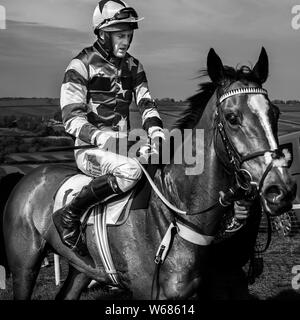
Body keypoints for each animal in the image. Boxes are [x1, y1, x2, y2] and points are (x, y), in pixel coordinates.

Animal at [2, 47, 296, 300]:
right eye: (233, 118)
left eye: (275, 112)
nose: (281, 190)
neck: (174, 214)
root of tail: (30, 176)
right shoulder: (146, 292)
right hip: (25, 266)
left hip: (82, 268)